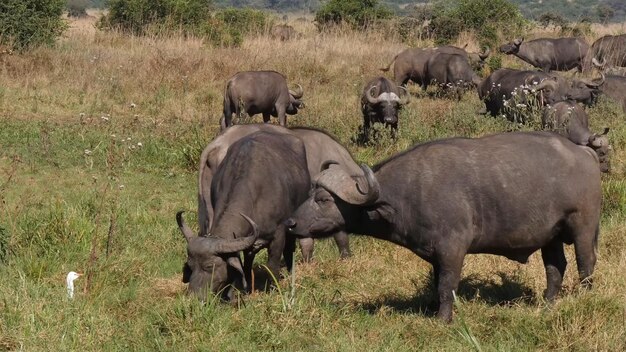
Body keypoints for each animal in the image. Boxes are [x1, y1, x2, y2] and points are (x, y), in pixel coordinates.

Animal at [178, 131, 310, 302]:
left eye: (209, 266)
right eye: (191, 265)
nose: (194, 297)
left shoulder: (279, 233)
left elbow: (272, 265)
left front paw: (274, 289)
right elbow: (244, 264)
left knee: (290, 249)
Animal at [286, 131, 600, 322]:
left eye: (324, 199)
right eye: (311, 193)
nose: (291, 223)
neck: (408, 194)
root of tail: (584, 153)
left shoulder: (452, 250)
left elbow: (447, 285)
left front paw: (443, 318)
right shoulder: (435, 254)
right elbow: (437, 284)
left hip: (582, 228)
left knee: (586, 265)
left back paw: (584, 297)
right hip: (551, 236)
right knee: (555, 268)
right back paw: (547, 305)